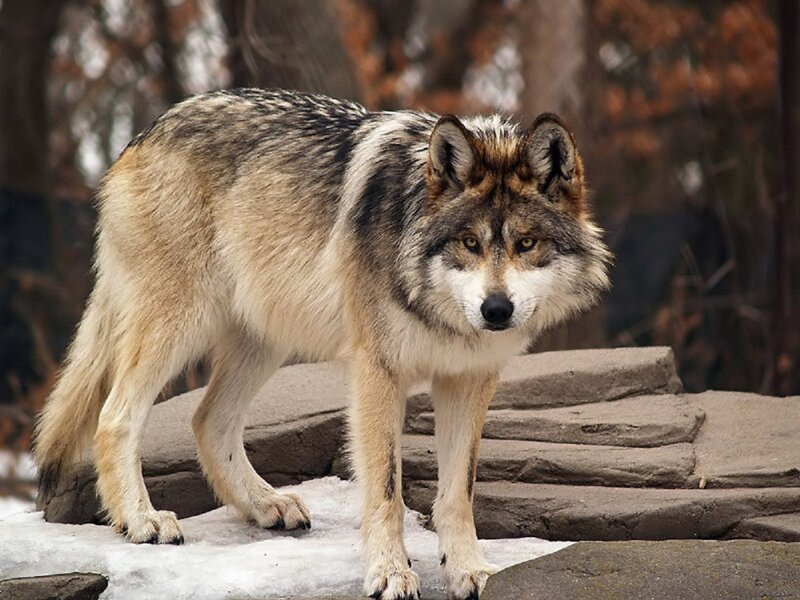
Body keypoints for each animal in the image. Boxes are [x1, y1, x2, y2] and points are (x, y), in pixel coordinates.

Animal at [34, 88, 610, 599]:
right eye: (470, 243)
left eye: (526, 243)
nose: (496, 310)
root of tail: (146, 133)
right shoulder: (378, 374)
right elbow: (386, 492)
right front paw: (391, 574)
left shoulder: (467, 380)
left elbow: (457, 495)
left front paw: (471, 572)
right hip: (179, 324)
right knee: (115, 416)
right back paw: (142, 520)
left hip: (263, 336)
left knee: (207, 421)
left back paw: (265, 505)